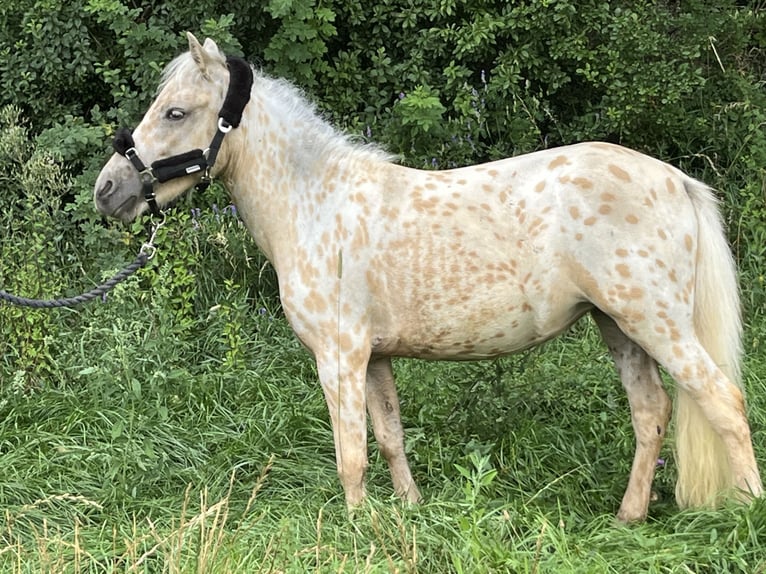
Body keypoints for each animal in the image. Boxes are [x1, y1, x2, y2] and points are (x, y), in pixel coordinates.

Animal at [94, 33, 760, 524]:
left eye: (176, 111)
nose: (108, 190)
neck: (315, 202)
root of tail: (675, 179)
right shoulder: (374, 358)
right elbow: (389, 436)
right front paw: (408, 510)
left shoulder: (338, 357)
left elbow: (351, 453)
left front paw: (356, 527)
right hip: (619, 325)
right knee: (652, 413)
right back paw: (628, 517)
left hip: (656, 323)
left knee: (722, 401)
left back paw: (748, 511)